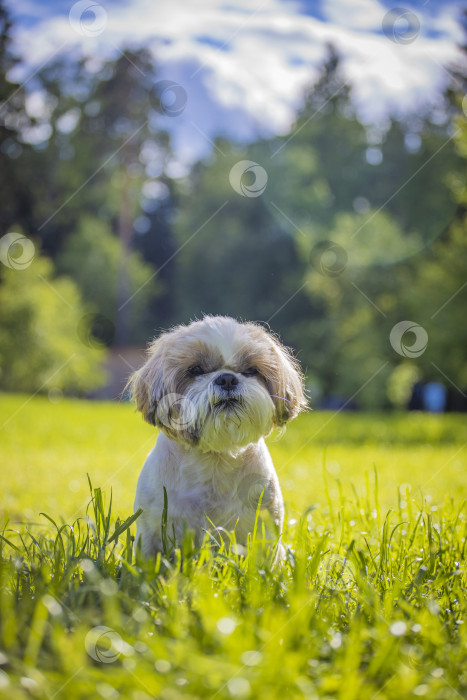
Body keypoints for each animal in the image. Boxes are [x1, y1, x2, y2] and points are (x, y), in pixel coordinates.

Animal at [127, 314, 308, 556]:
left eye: (251, 370)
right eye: (196, 370)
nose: (227, 378)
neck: (216, 456)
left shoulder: (266, 526)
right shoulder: (151, 528)